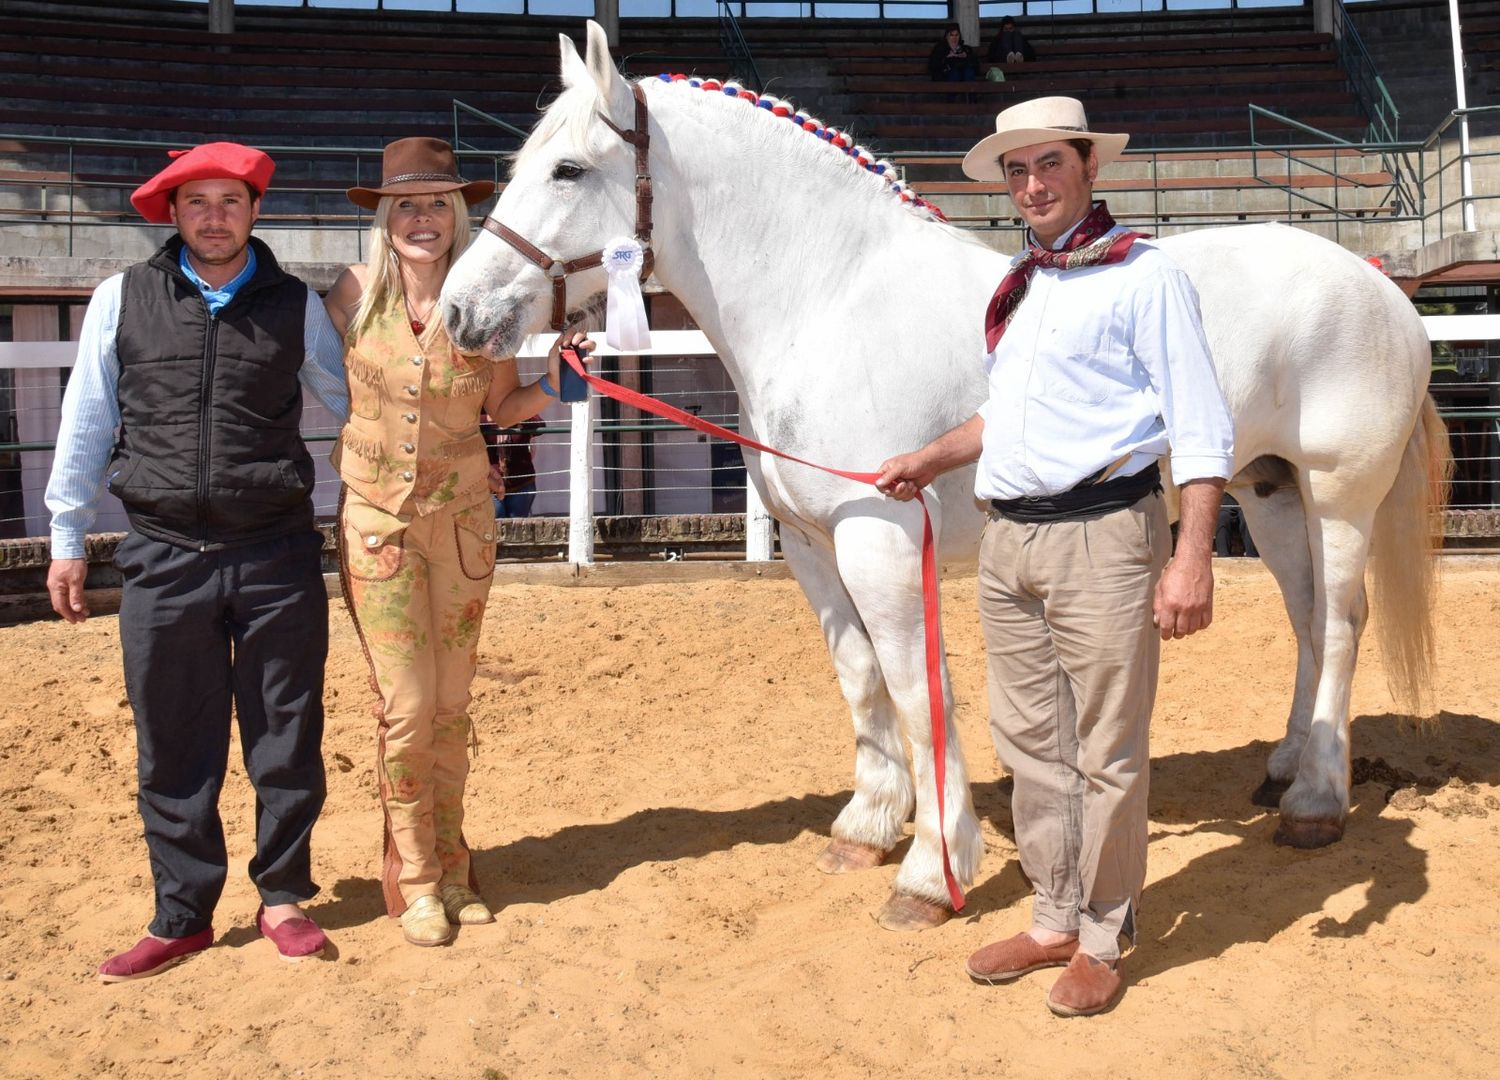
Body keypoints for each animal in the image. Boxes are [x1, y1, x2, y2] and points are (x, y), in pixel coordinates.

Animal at [438, 16, 1446, 930]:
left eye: (568, 171)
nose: (457, 312)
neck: (828, 300)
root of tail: (1382, 285)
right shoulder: (812, 548)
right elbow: (860, 678)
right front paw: (868, 825)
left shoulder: (881, 541)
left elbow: (920, 692)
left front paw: (932, 872)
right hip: (1269, 492)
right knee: (1307, 618)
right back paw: (1283, 768)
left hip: (1340, 496)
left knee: (1342, 622)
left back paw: (1316, 801)